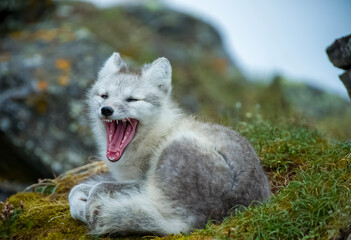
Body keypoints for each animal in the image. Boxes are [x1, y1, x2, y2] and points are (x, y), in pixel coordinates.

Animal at [69, 52, 272, 234]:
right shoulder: (126, 178)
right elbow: (76, 189)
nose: (106, 109)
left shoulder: (141, 180)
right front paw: (79, 204)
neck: (153, 136)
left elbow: (99, 187)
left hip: (174, 153)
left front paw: (88, 206)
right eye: (104, 96)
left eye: (132, 99)